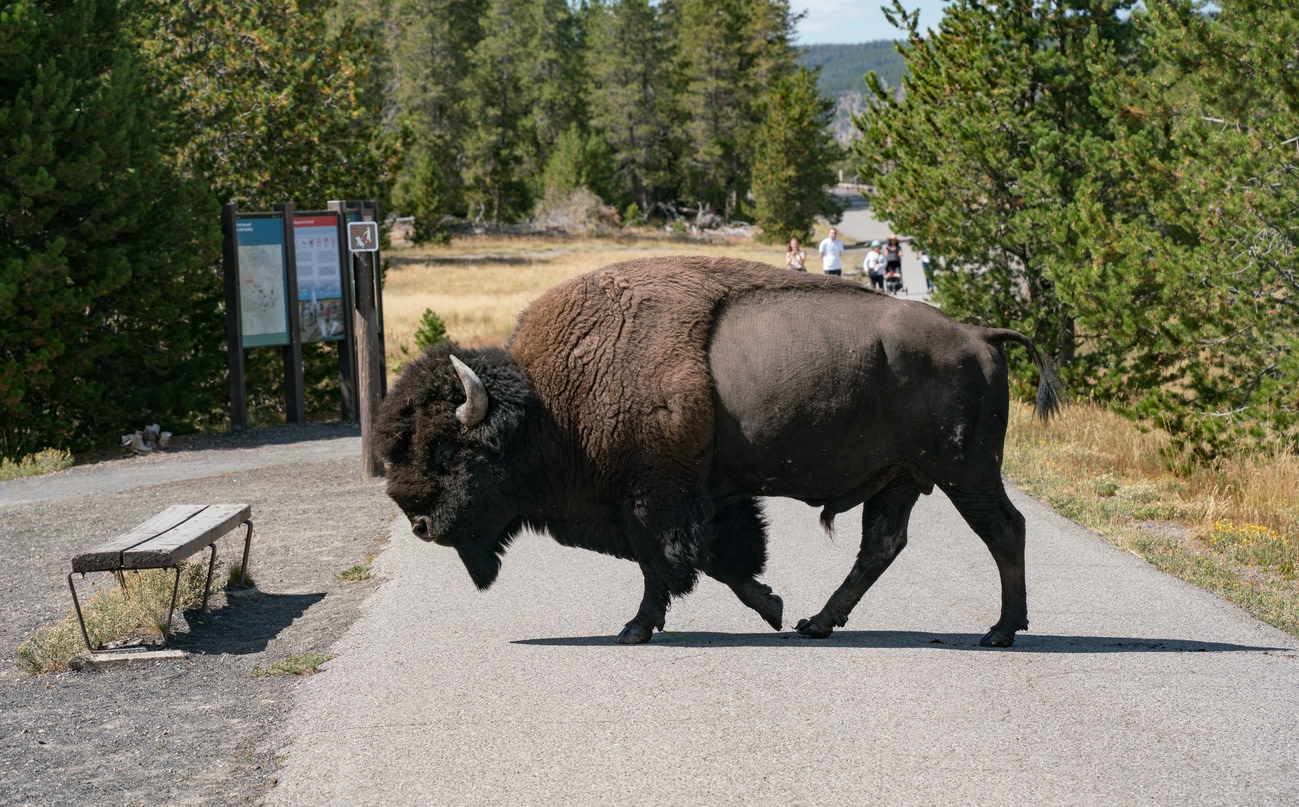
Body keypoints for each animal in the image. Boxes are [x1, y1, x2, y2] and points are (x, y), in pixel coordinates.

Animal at [374, 258, 1054, 647]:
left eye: (448, 454)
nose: (419, 523)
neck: (548, 404)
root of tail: (978, 334)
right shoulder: (703, 498)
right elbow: (716, 558)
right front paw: (773, 607)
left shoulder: (655, 499)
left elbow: (666, 563)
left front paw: (635, 630)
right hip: (901, 479)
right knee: (881, 546)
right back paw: (817, 623)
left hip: (964, 472)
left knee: (1004, 530)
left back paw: (1000, 632)